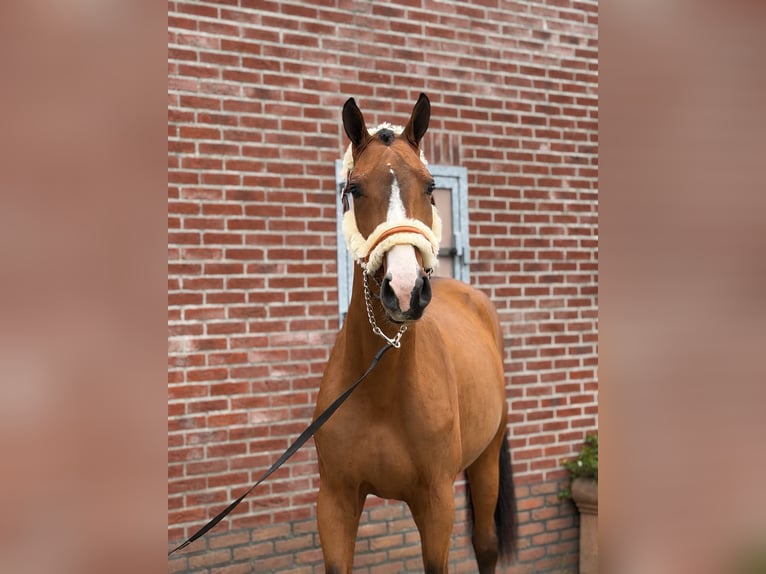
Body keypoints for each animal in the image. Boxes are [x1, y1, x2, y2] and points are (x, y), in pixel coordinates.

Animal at [313, 93, 516, 574]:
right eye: (353, 190)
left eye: (429, 186)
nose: (405, 290)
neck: (382, 389)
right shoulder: (335, 503)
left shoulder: (436, 504)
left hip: (486, 461)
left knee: (484, 545)